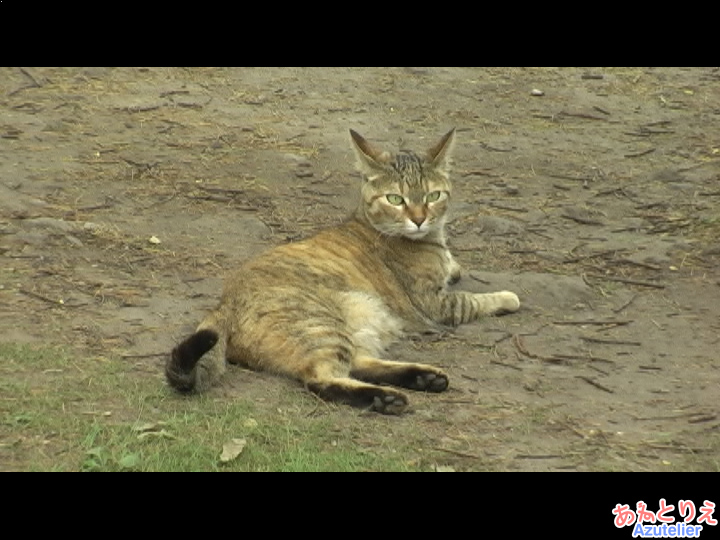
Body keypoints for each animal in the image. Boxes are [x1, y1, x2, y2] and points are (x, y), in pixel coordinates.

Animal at [166, 127, 520, 414]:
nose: (419, 219)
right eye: (396, 199)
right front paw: (506, 297)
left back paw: (423, 378)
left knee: (359, 364)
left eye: (433, 196)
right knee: (323, 380)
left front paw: (455, 267)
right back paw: (387, 398)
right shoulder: (437, 304)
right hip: (322, 326)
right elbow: (475, 300)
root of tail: (223, 304)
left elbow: (456, 272)